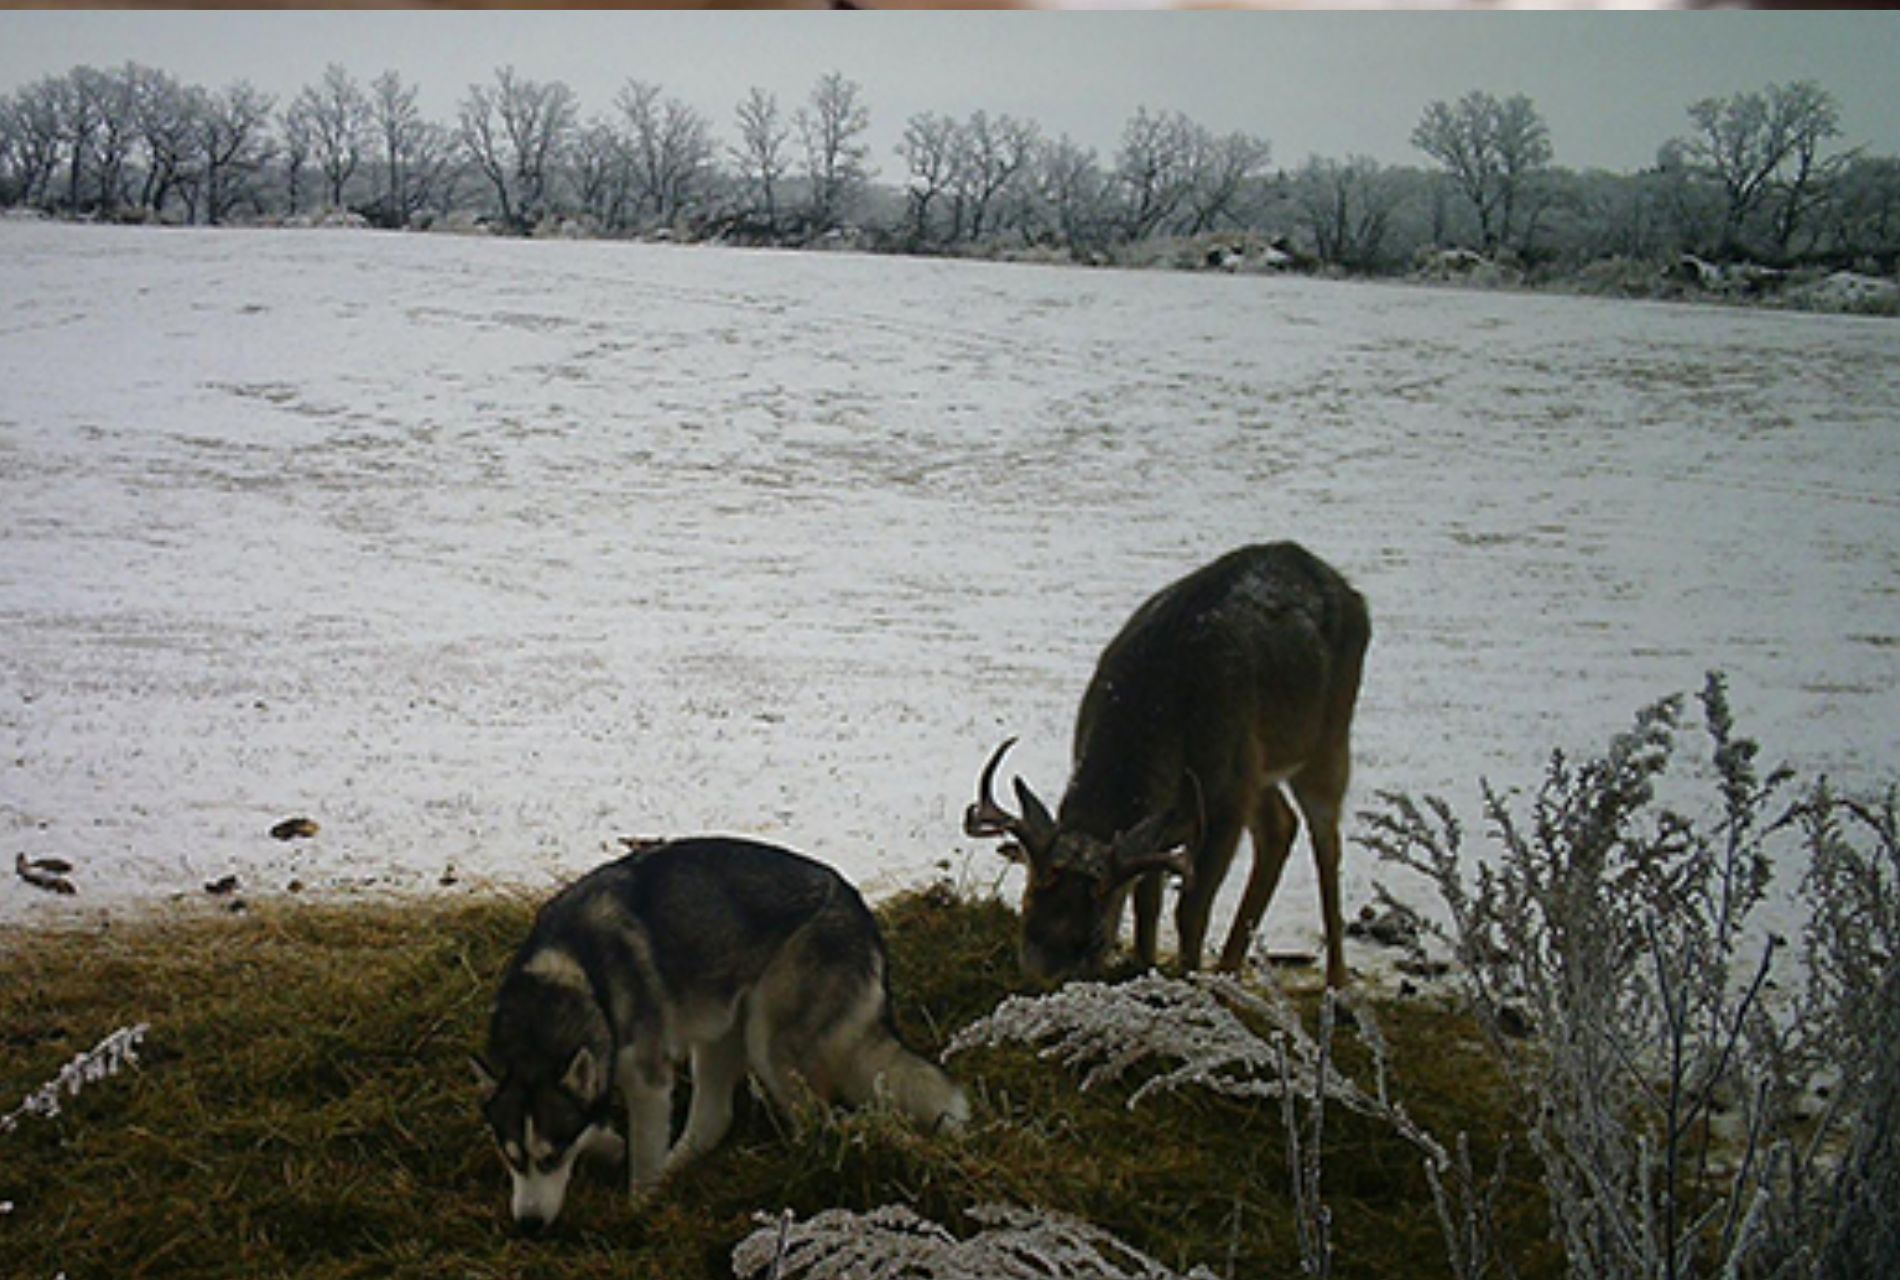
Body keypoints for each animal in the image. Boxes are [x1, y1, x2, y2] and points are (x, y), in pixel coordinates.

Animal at [475, 831, 965, 1230]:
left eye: (552, 1157)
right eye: (509, 1157)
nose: (529, 1225)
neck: (573, 975)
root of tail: (859, 906)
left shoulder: (648, 1080)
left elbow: (643, 1156)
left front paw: (639, 1209)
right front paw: (612, 1146)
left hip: (768, 1046)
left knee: (819, 1123)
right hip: (717, 1032)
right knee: (714, 1120)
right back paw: (679, 1166)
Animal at [965, 539, 1368, 987]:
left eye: (1094, 940)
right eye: (1026, 912)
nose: (1043, 985)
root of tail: (1349, 591)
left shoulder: (1225, 805)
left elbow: (1191, 911)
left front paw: (1187, 979)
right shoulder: (1163, 822)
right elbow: (1148, 905)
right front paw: (1145, 966)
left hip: (1327, 736)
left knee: (1326, 843)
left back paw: (1337, 978)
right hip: (1259, 770)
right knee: (1280, 827)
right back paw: (1229, 967)